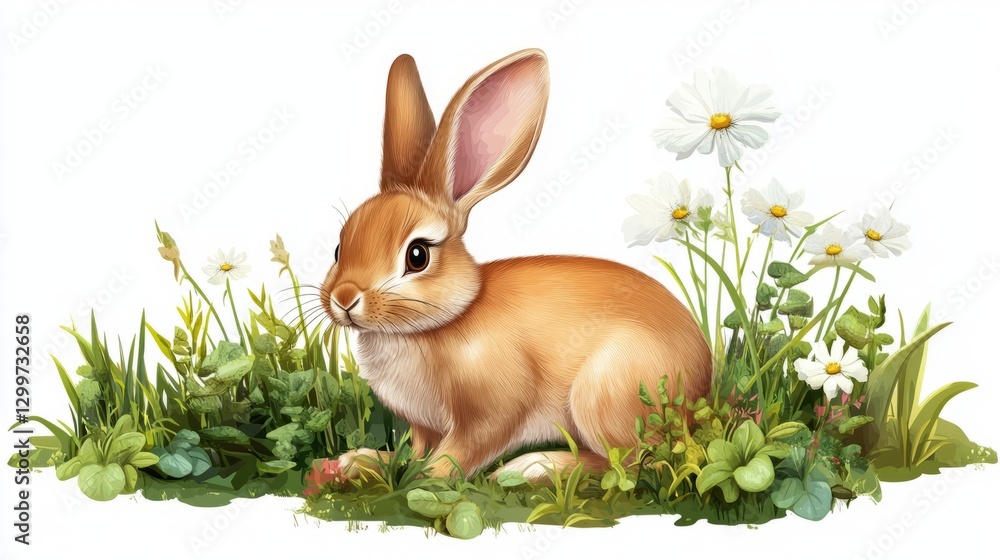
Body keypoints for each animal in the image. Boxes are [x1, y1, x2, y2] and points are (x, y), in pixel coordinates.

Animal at [320, 48, 712, 481]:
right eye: (338, 248)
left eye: (417, 255)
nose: (344, 298)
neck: (436, 325)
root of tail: (702, 382)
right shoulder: (423, 425)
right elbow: (417, 450)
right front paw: (367, 461)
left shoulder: (491, 413)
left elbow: (459, 453)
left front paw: (422, 478)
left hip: (603, 393)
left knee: (632, 462)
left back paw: (531, 467)